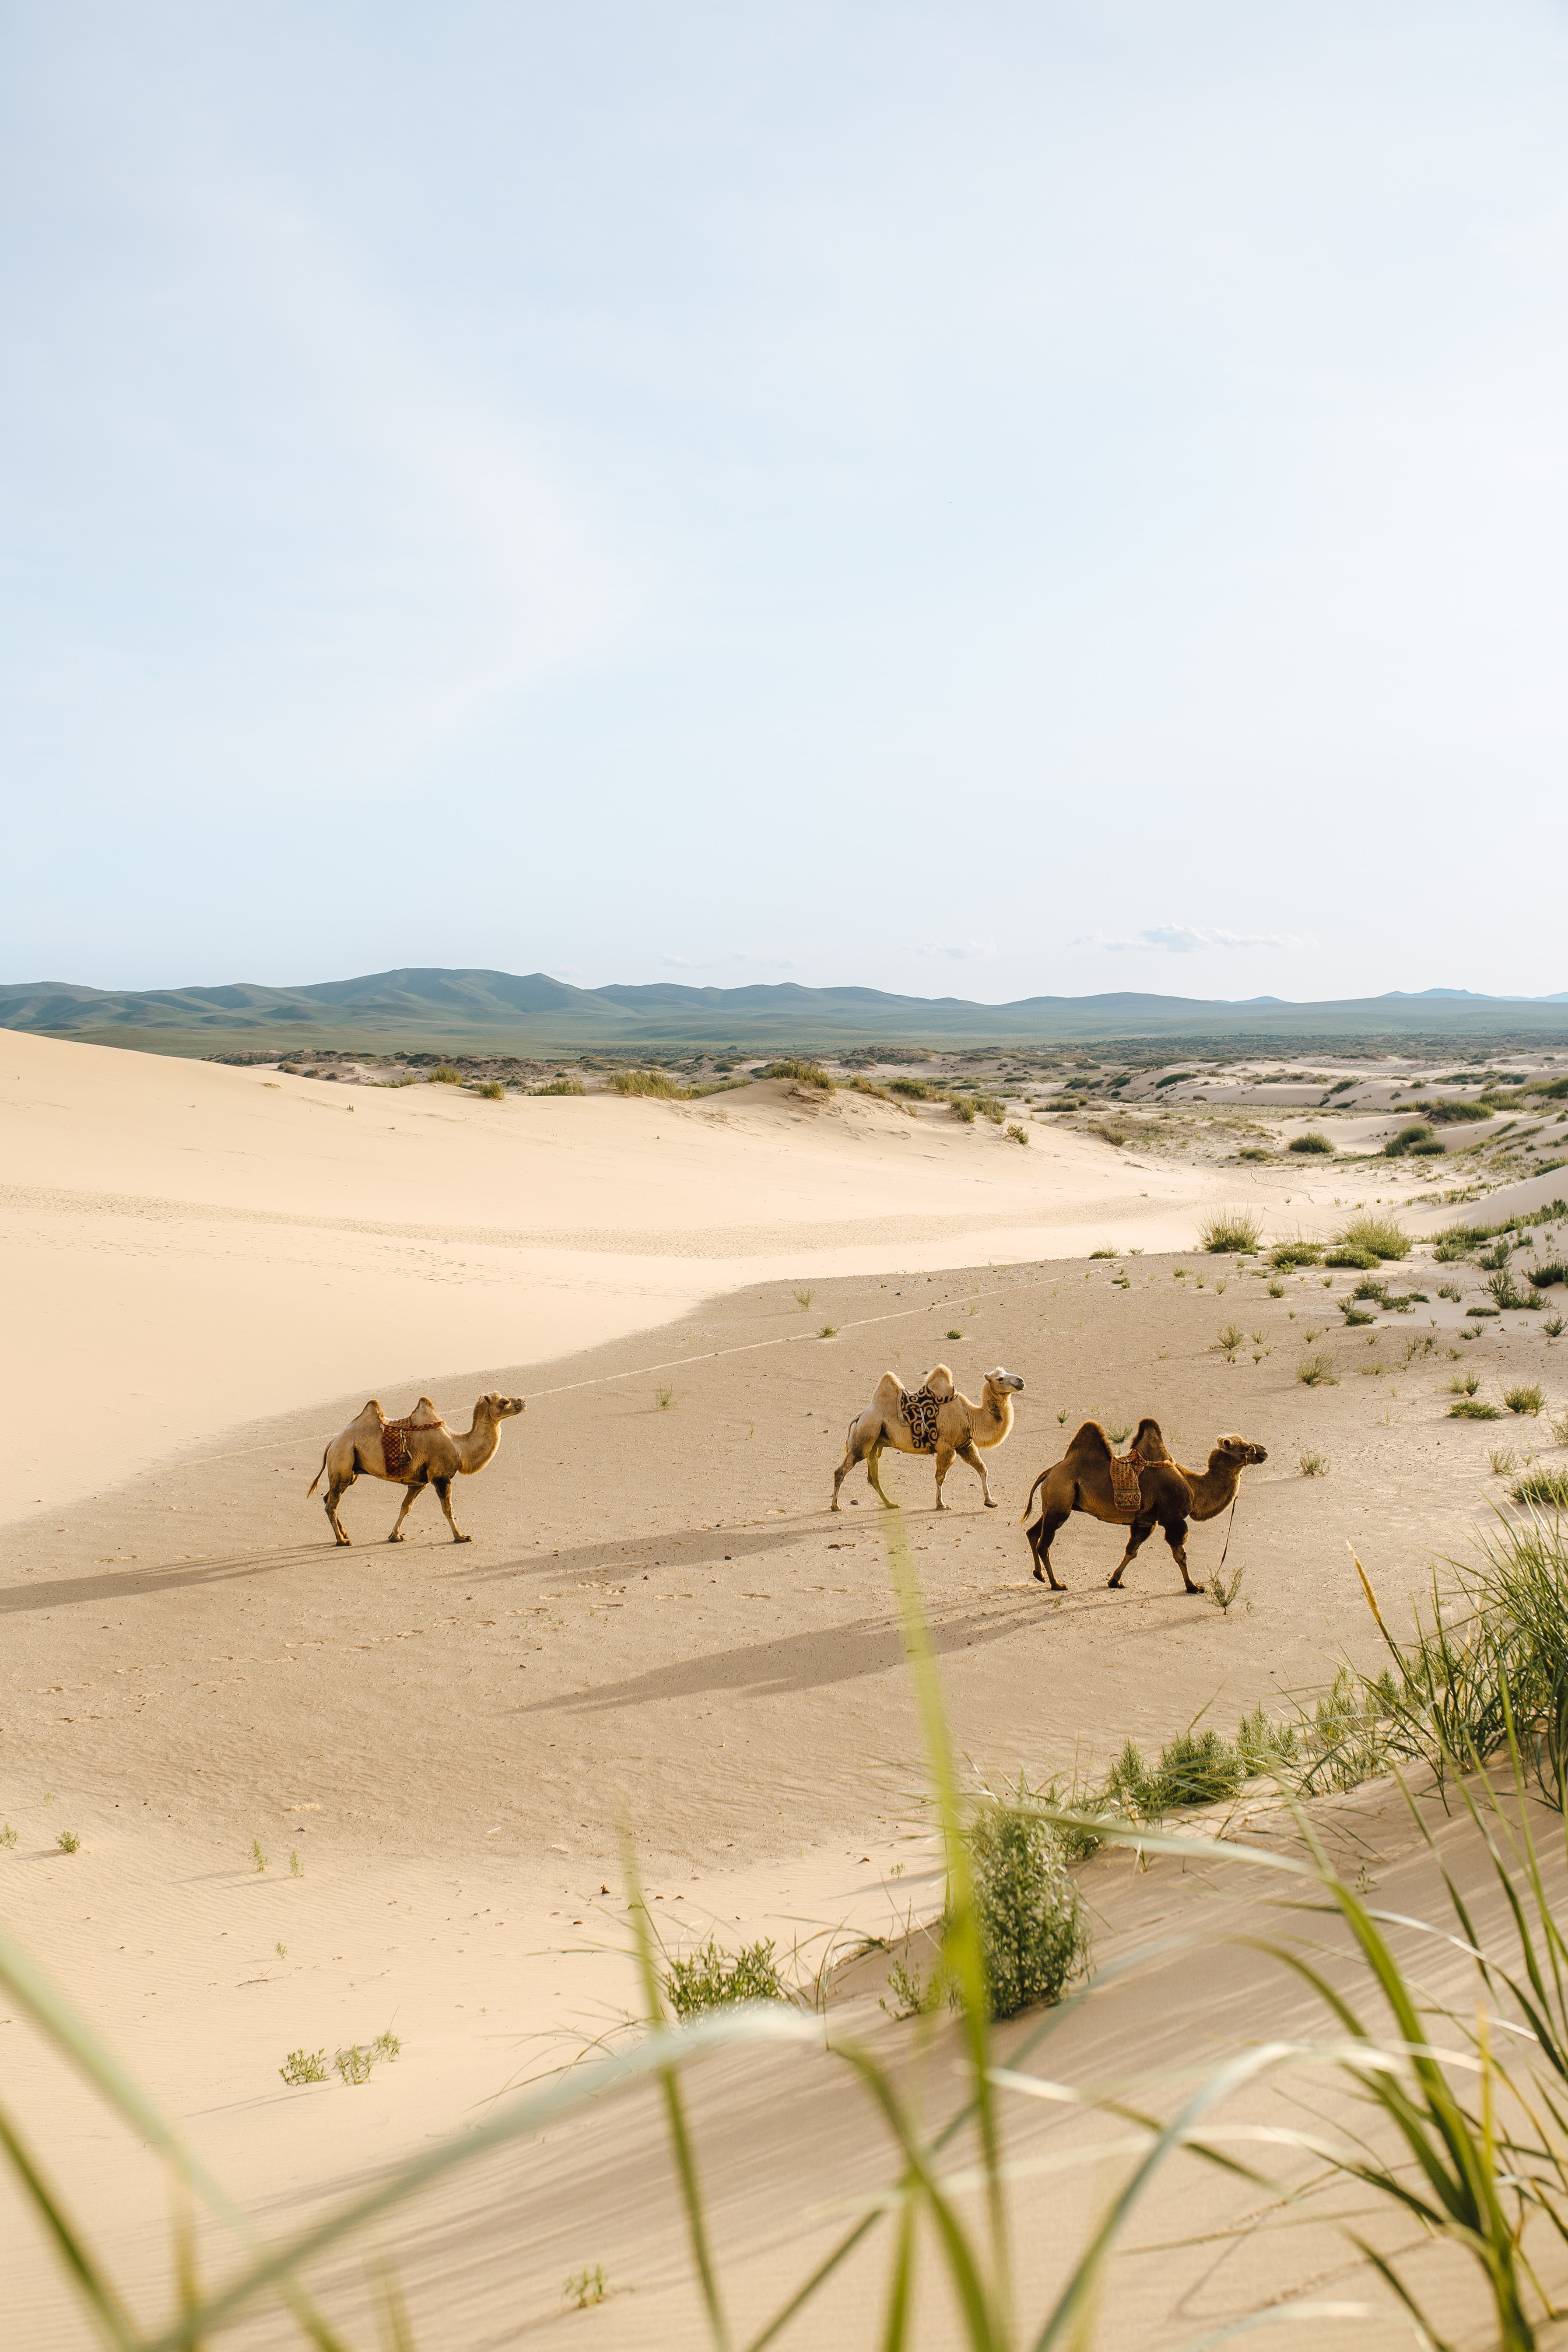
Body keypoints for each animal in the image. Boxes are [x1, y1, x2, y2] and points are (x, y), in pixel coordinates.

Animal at [308, 1392, 526, 1543]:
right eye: (504, 1402)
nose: (522, 1402)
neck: (459, 1448)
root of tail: (332, 1443)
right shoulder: (441, 1477)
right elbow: (448, 1509)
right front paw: (461, 1536)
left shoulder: (419, 1482)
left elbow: (406, 1507)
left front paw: (395, 1536)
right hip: (343, 1459)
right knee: (332, 1504)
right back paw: (342, 1541)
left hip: (351, 1470)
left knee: (329, 1498)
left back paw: (345, 1534)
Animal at [832, 1373, 1029, 1514]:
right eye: (1000, 1378)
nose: (1021, 1381)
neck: (969, 1416)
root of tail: (860, 1416)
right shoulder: (947, 1447)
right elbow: (940, 1477)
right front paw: (941, 1504)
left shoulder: (964, 1445)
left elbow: (983, 1469)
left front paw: (990, 1502)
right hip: (865, 1438)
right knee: (841, 1471)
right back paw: (836, 1506)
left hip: (875, 1445)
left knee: (873, 1477)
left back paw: (891, 1504)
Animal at [1025, 1411, 1269, 1599]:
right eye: (1244, 1447)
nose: (1264, 1451)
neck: (1193, 1486)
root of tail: (1050, 1472)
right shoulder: (1173, 1519)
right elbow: (1180, 1554)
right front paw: (1194, 1587)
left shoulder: (1145, 1521)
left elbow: (1132, 1550)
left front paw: (1115, 1581)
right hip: (1060, 1499)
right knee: (1044, 1544)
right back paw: (1057, 1584)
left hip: (1055, 1503)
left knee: (1033, 1531)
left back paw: (1040, 1575)